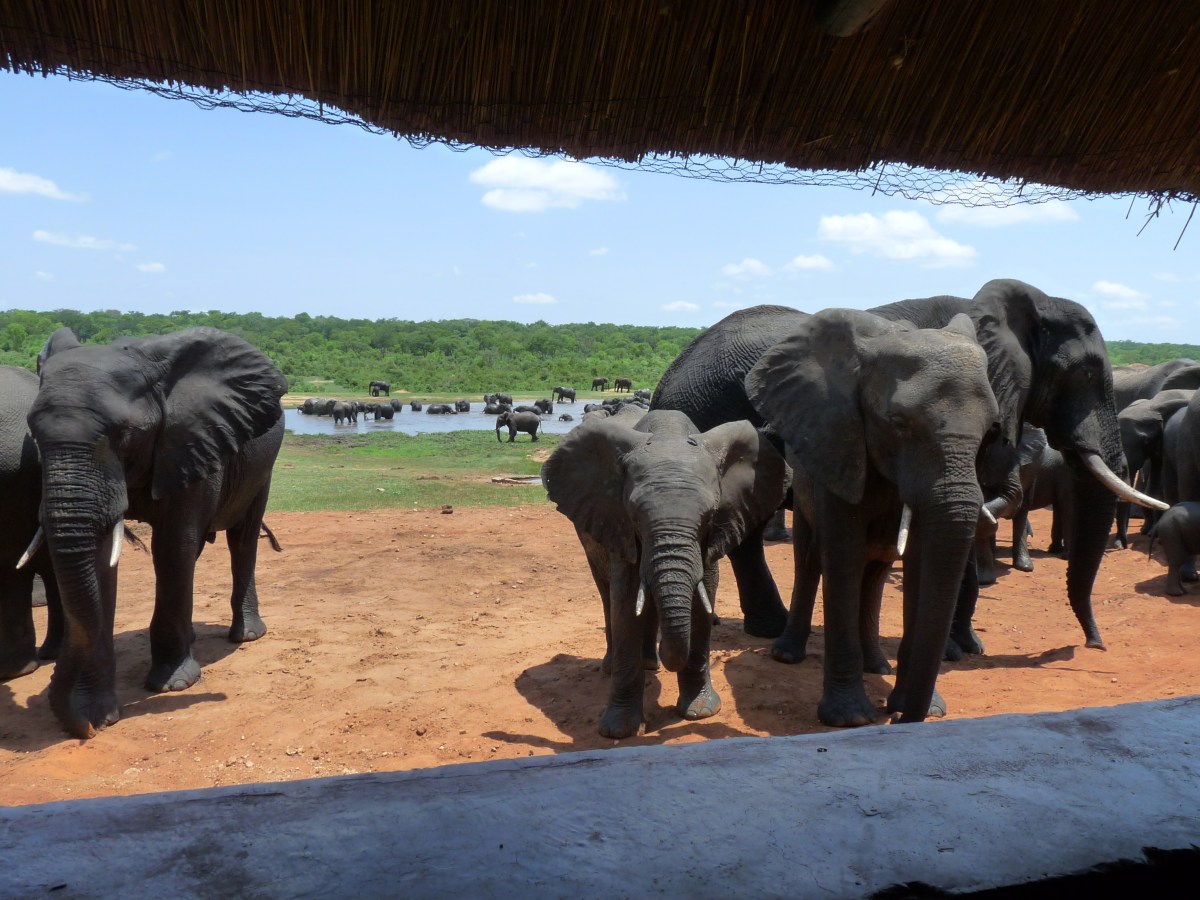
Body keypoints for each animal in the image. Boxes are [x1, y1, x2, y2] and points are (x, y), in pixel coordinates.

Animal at [27, 326, 287, 738]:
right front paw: (98, 713)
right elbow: (102, 559)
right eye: (33, 433)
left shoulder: (190, 438)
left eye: (124, 433)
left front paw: (174, 684)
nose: (83, 731)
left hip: (263, 464)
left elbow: (172, 546)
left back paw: (246, 635)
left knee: (242, 538)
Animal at [542, 409, 788, 738]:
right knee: (607, 594)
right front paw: (619, 731)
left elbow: (705, 592)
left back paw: (651, 663)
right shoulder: (616, 523)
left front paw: (700, 713)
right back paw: (612, 667)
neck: (668, 434)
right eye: (634, 516)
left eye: (710, 516)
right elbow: (625, 599)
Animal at [747, 309, 1000, 726]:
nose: (899, 719)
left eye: (993, 429)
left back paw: (877, 666)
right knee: (810, 558)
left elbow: (919, 563)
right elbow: (841, 555)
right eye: (897, 422)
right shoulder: (840, 446)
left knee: (876, 572)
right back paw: (786, 654)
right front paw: (849, 719)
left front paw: (923, 707)